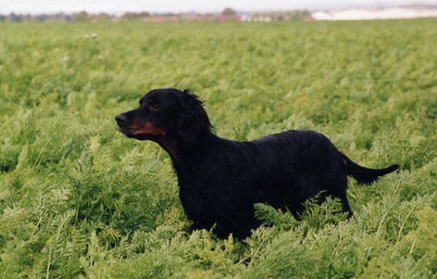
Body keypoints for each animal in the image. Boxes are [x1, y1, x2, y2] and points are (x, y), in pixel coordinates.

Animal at [115, 88, 398, 240]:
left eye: (154, 105)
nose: (118, 118)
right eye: (141, 102)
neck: (200, 159)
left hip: (334, 200)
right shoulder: (202, 223)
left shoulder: (242, 224)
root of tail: (334, 148)